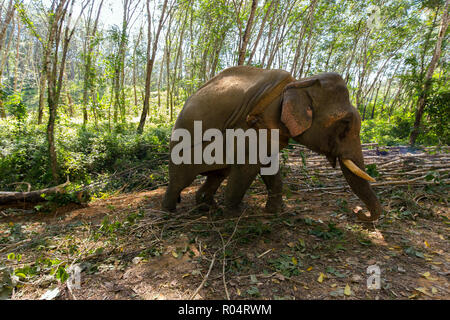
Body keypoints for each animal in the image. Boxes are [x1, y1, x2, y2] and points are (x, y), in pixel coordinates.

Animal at [163, 66, 382, 222]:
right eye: (345, 123)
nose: (358, 212)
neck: (298, 83)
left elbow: (269, 167)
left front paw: (276, 212)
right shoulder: (257, 124)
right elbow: (248, 168)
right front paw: (235, 216)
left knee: (217, 175)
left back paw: (207, 207)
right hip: (182, 149)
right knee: (181, 179)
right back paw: (169, 212)